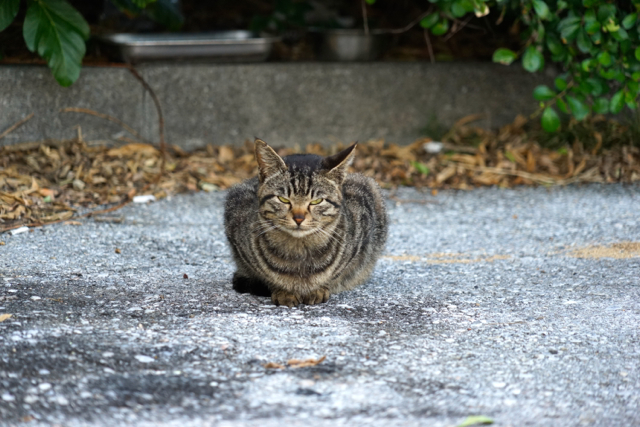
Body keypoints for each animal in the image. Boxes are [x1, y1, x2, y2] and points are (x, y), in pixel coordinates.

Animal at [224, 139, 388, 307]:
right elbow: (266, 275)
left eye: (316, 201)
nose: (299, 218)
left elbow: (336, 273)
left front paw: (318, 289)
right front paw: (283, 291)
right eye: (283, 199)